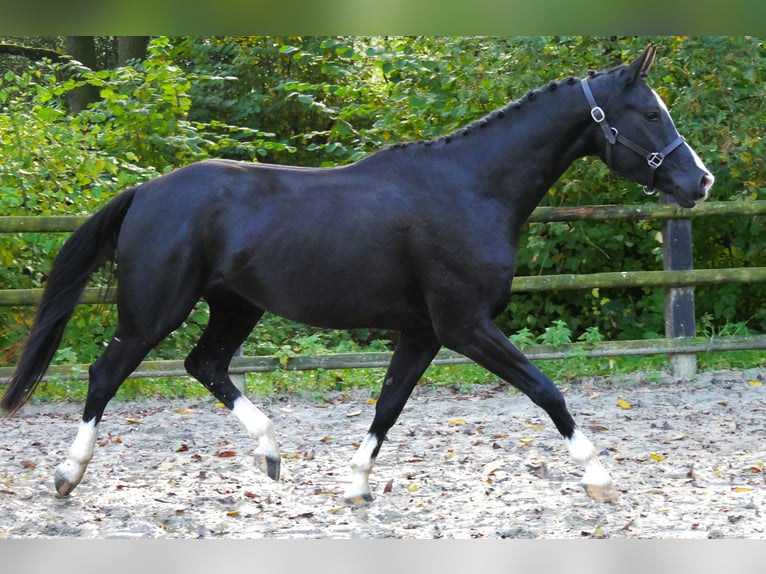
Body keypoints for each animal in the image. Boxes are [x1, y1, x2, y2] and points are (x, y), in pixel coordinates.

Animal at [3, 46, 716, 504]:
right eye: (650, 114)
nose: (701, 182)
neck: (471, 190)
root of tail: (146, 192)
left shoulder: (423, 333)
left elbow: (388, 405)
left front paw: (354, 487)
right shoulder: (464, 326)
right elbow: (548, 391)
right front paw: (599, 478)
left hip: (236, 306)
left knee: (204, 365)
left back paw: (271, 455)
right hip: (155, 310)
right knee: (105, 373)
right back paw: (67, 476)